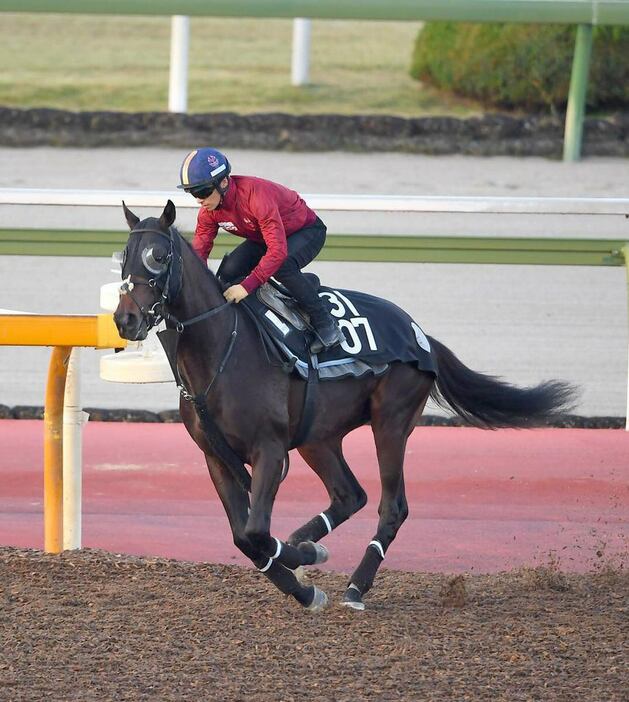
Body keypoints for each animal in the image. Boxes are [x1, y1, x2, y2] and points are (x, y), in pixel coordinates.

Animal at [111, 201, 576, 612]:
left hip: (390, 422)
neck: (222, 350)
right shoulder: (216, 457)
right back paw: (309, 543)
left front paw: (304, 560)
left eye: (158, 256)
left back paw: (355, 585)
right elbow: (245, 539)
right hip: (318, 437)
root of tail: (420, 333)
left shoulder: (269, 450)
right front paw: (304, 585)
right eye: (124, 257)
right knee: (350, 494)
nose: (125, 319)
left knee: (392, 506)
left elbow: (256, 531)